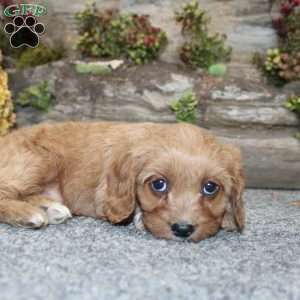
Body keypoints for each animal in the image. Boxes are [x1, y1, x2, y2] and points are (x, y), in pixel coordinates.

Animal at [0, 122, 245, 241]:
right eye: (159, 184)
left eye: (210, 187)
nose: (183, 229)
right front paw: (139, 218)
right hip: (39, 160)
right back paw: (29, 214)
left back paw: (50, 207)